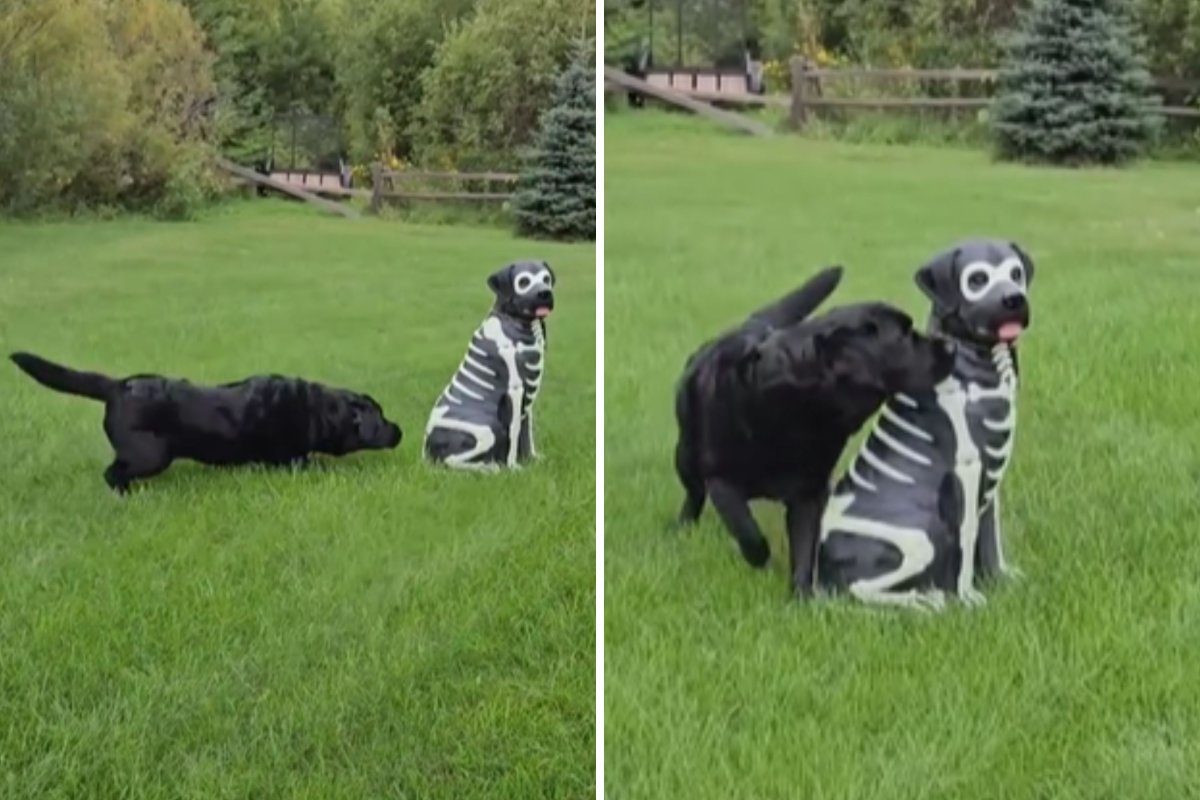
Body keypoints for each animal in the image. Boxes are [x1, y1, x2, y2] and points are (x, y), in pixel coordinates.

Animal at [9, 352, 403, 494]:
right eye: (382, 418)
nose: (400, 430)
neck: (318, 409)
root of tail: (118, 385)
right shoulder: (291, 459)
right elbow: (315, 464)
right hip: (150, 454)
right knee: (112, 473)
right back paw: (126, 493)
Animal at [676, 267, 955, 594]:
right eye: (903, 336)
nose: (951, 345)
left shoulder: (810, 492)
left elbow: (805, 546)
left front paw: (802, 594)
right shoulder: (722, 479)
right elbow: (746, 528)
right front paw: (760, 559)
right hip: (686, 457)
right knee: (693, 492)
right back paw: (682, 527)